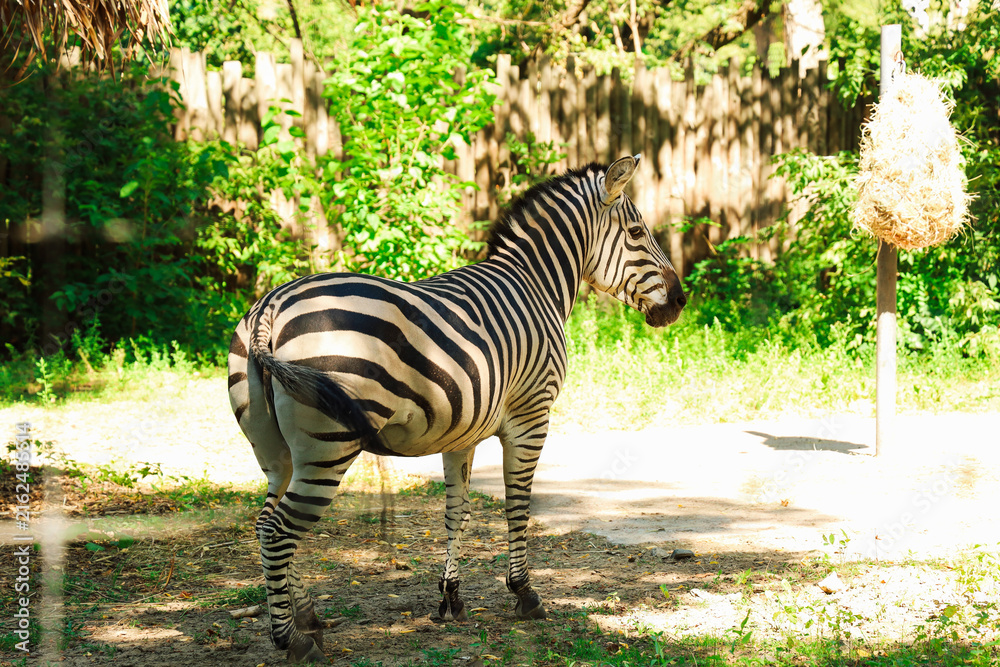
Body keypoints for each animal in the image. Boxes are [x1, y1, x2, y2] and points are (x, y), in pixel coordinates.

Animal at [227, 155, 686, 663]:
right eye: (637, 233)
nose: (680, 300)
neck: (536, 284)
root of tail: (271, 306)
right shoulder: (532, 415)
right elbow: (517, 504)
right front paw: (524, 593)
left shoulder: (461, 431)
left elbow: (456, 512)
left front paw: (451, 598)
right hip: (327, 448)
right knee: (279, 531)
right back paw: (293, 639)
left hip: (275, 452)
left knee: (265, 522)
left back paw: (306, 616)